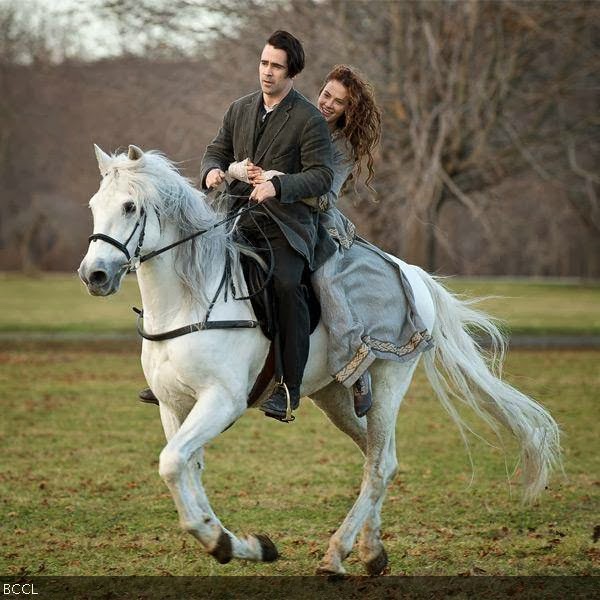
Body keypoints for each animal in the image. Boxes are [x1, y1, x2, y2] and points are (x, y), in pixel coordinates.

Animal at [77, 145, 560, 576]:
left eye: (130, 206)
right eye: (95, 206)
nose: (93, 275)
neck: (190, 301)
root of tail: (410, 272)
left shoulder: (221, 401)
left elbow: (173, 463)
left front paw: (223, 542)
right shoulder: (173, 405)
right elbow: (185, 468)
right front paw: (243, 544)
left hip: (389, 379)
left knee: (379, 464)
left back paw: (336, 554)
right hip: (334, 395)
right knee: (380, 457)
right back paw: (371, 551)